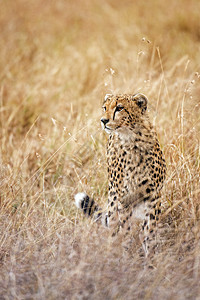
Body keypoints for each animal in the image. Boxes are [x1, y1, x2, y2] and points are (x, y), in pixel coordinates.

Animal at [74, 93, 166, 255]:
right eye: (105, 108)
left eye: (119, 108)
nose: (103, 120)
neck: (133, 138)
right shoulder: (124, 199)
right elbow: (125, 229)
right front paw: (125, 252)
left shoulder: (153, 196)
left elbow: (149, 230)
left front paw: (150, 256)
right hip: (113, 202)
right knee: (114, 227)